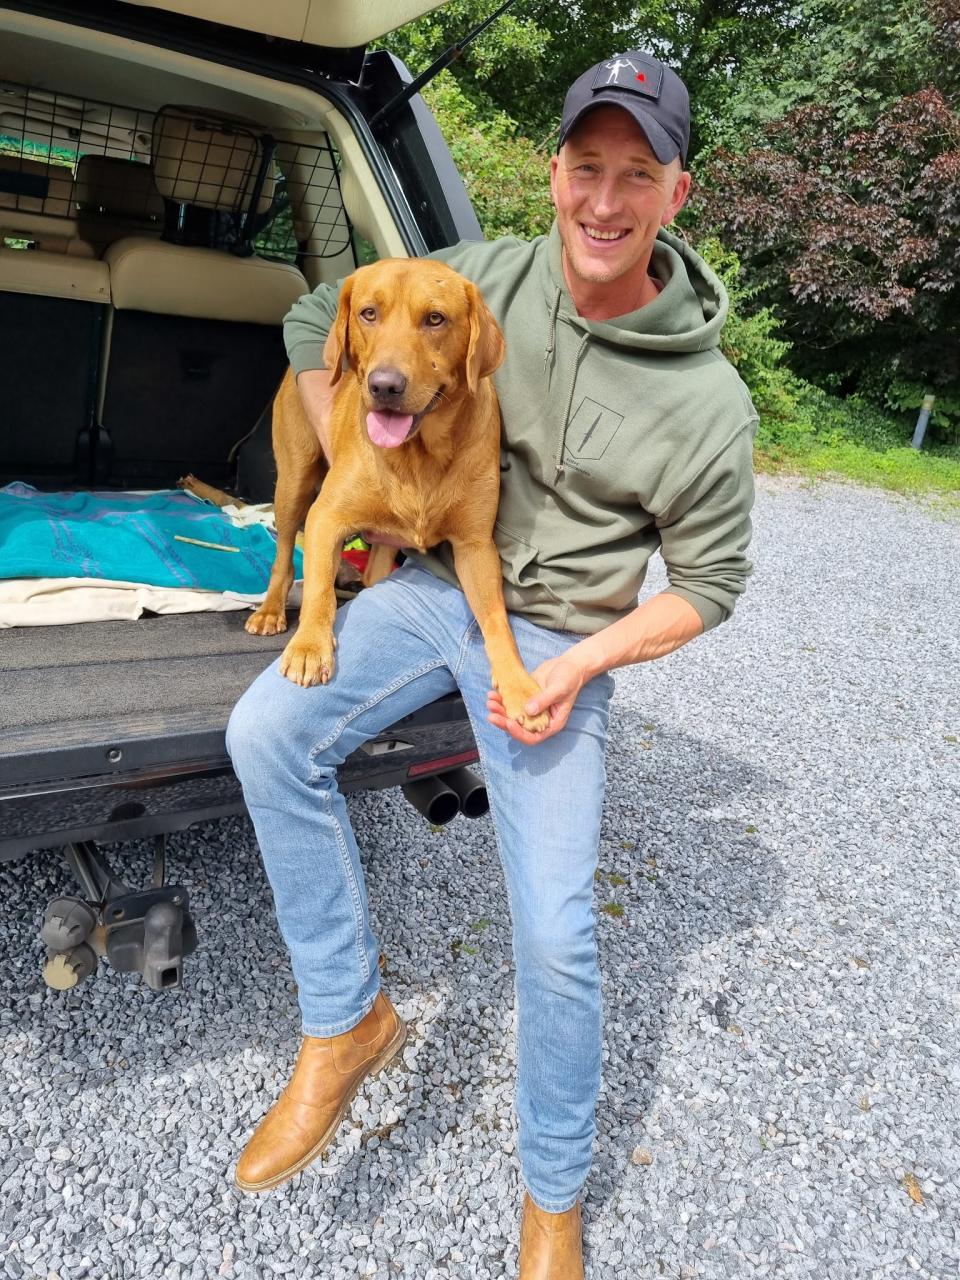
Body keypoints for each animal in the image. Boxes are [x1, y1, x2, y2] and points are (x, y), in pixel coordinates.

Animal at [244, 256, 552, 737]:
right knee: (283, 555)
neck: (419, 456)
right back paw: (271, 611)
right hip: (293, 482)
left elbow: (497, 619)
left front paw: (518, 686)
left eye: (435, 319)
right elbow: (319, 590)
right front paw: (311, 646)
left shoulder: (475, 546)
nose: (384, 386)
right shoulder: (326, 518)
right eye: (369, 313)